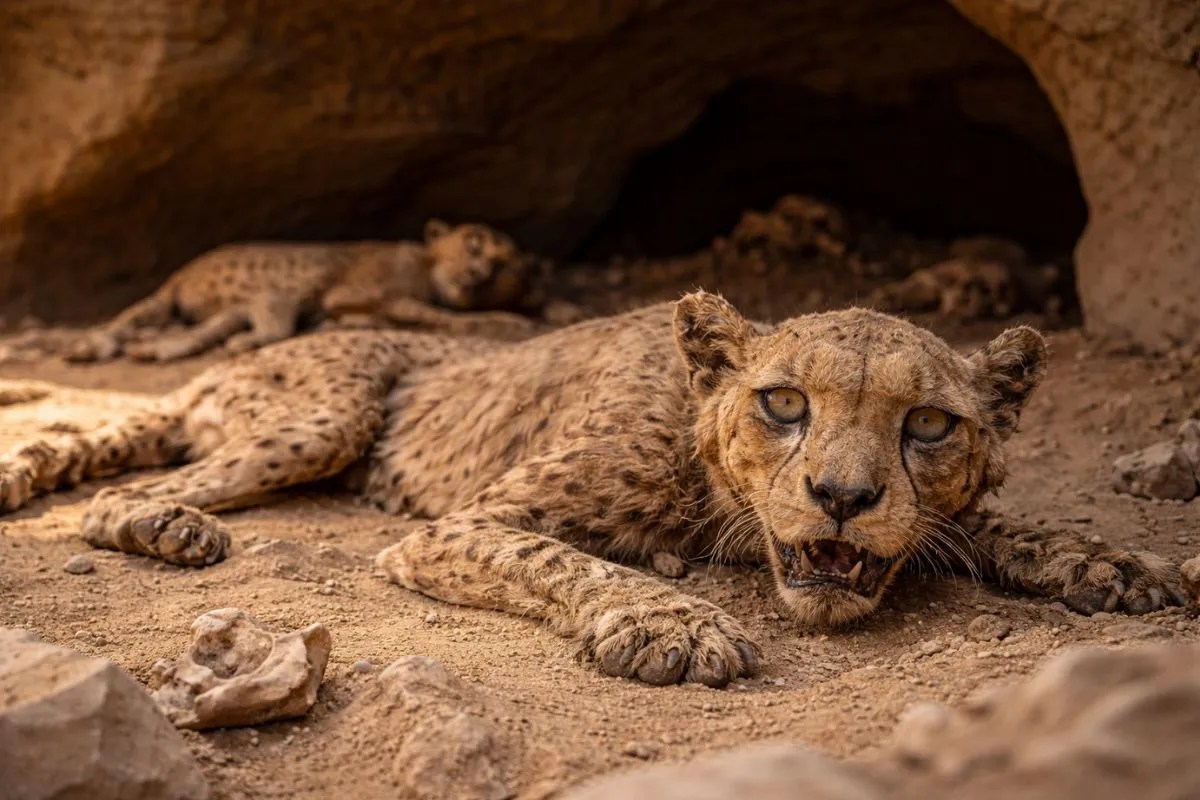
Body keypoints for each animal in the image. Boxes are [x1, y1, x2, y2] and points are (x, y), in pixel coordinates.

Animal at [0, 291, 1181, 687]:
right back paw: (170, 521)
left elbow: (991, 523)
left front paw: (1117, 561)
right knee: (115, 494)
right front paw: (670, 621)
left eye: (928, 424)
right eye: (783, 402)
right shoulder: (464, 522)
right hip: (326, 419)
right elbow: (558, 555)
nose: (842, 496)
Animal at [59, 219, 541, 363]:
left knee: (198, 334)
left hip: (239, 307)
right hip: (275, 291)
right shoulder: (351, 291)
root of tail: (182, 272)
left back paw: (151, 347)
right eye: (473, 243)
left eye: (504, 267)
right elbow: (436, 314)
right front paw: (510, 322)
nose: (478, 272)